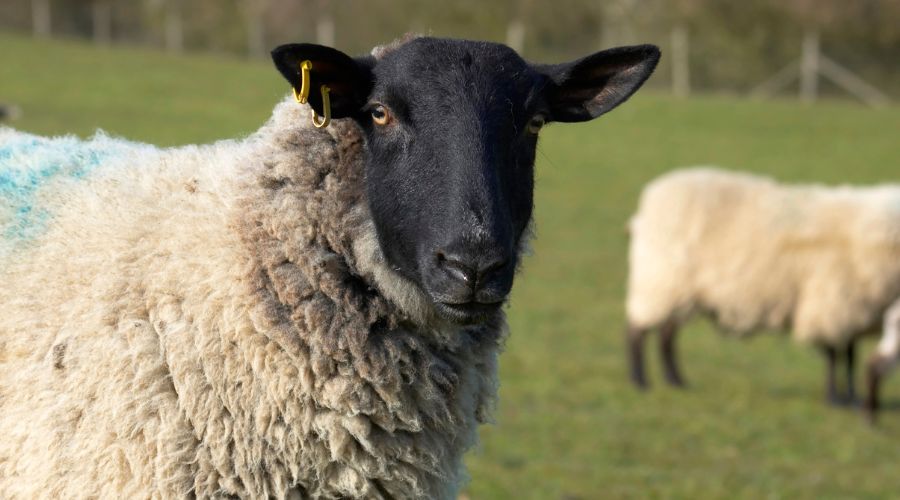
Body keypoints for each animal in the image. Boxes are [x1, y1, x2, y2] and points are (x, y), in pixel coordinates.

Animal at [624, 166, 900, 416]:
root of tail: (652, 197)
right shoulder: (831, 305)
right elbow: (835, 355)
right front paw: (835, 399)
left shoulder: (853, 311)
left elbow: (850, 355)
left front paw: (851, 398)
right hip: (659, 281)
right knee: (637, 330)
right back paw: (640, 381)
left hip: (679, 291)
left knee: (666, 334)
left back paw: (676, 381)